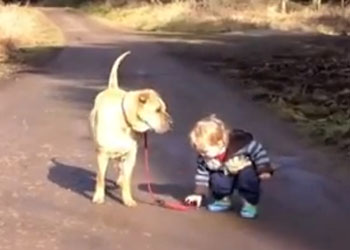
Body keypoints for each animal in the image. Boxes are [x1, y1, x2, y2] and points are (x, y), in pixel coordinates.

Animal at [90, 51, 172, 207]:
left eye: (164, 109)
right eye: (158, 110)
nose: (171, 122)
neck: (125, 121)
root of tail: (112, 88)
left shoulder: (130, 156)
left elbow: (127, 178)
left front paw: (127, 198)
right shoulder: (102, 154)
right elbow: (101, 177)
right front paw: (99, 196)